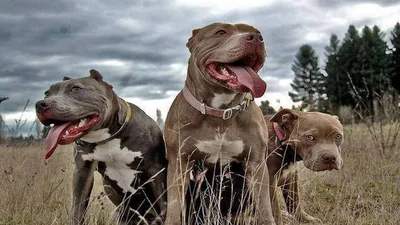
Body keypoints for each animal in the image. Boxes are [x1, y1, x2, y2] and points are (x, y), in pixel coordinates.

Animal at [34, 69, 166, 224]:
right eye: (47, 93)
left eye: (76, 89)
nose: (40, 104)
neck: (107, 137)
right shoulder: (82, 171)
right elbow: (78, 208)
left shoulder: (155, 169)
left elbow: (164, 204)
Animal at [162, 22, 276, 224]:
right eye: (220, 32)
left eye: (258, 32)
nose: (256, 38)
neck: (220, 112)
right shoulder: (179, 163)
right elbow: (175, 207)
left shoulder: (256, 163)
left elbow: (264, 208)